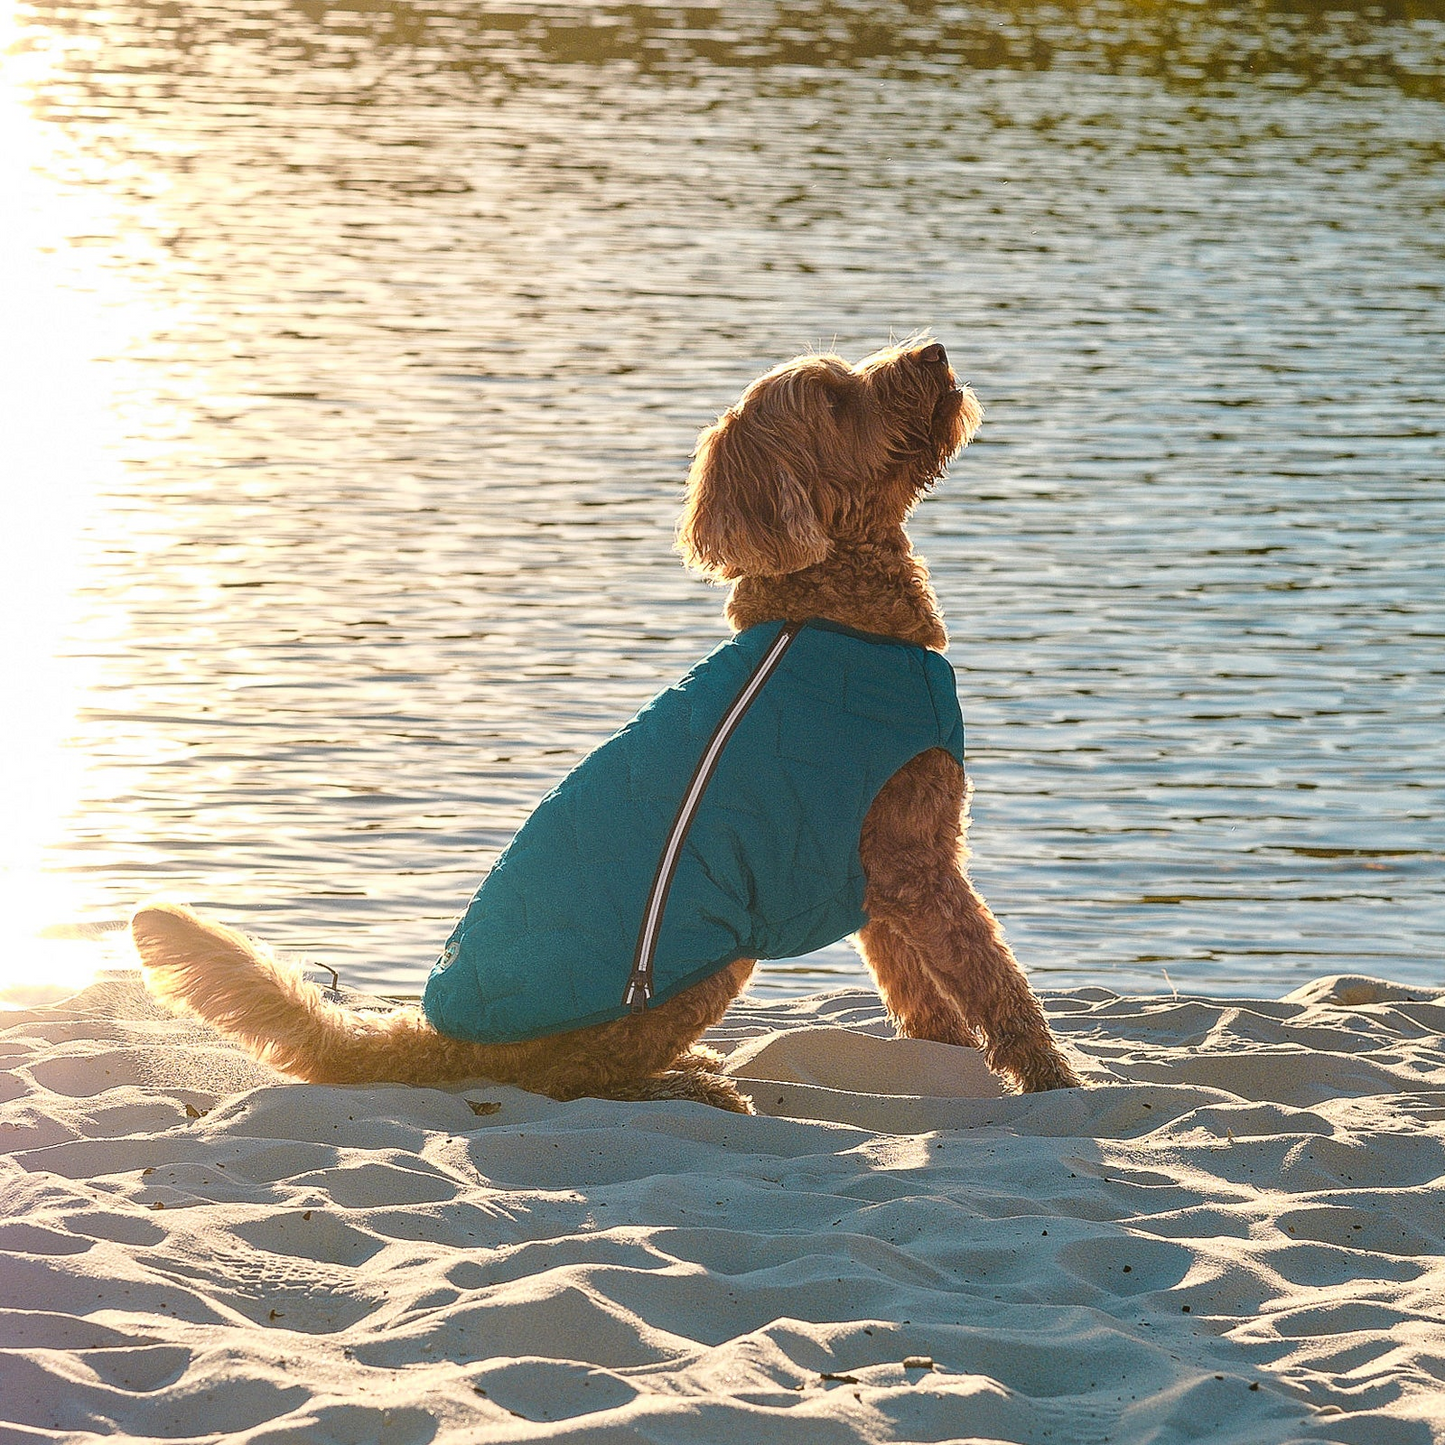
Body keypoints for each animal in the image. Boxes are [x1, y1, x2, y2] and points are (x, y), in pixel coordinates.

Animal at [132, 338, 1086, 1103]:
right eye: (830, 395)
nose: (933, 351)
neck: (833, 615)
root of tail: (440, 1042)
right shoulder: (923, 866)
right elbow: (999, 985)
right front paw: (1053, 1083)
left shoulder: (874, 869)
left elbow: (923, 996)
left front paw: (942, 1063)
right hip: (699, 961)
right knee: (574, 1079)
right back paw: (683, 1084)